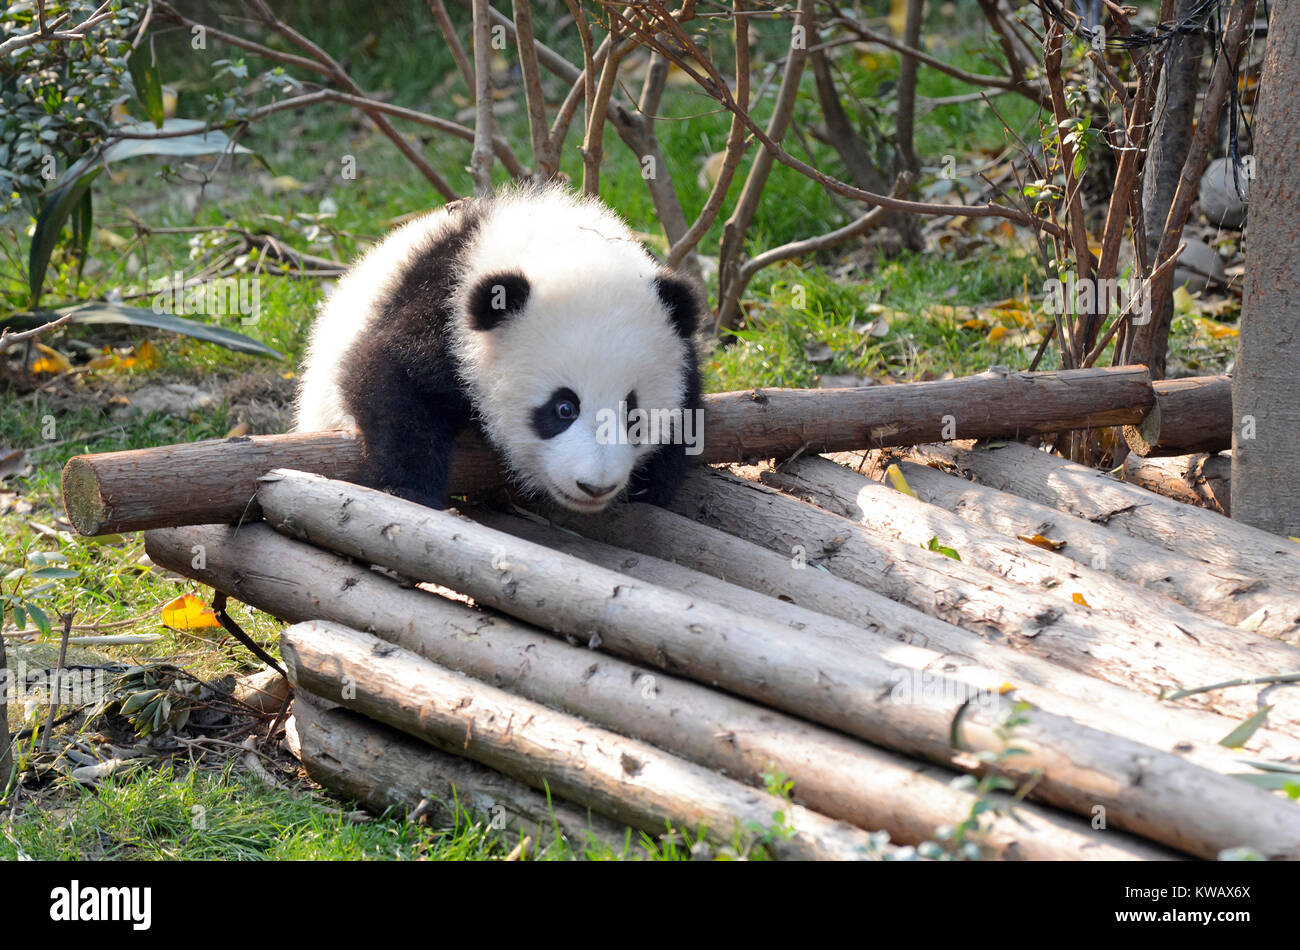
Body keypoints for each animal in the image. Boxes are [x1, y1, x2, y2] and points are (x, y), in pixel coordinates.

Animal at [294, 183, 704, 514]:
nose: (595, 486)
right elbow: (390, 376)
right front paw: (410, 487)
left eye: (633, 413)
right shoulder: (445, 306)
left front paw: (654, 481)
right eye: (564, 408)